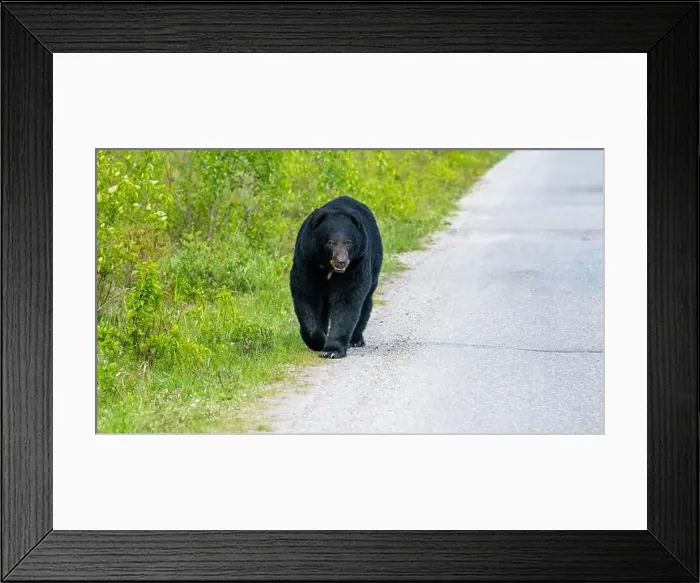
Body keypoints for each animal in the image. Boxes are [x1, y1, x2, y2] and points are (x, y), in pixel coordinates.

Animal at [290, 195, 383, 359]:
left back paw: (355, 339)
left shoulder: (357, 262)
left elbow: (347, 298)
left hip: (374, 264)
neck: (328, 266)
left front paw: (332, 349)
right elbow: (306, 293)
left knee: (365, 302)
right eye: (330, 242)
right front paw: (319, 340)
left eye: (348, 242)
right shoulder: (308, 259)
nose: (342, 261)